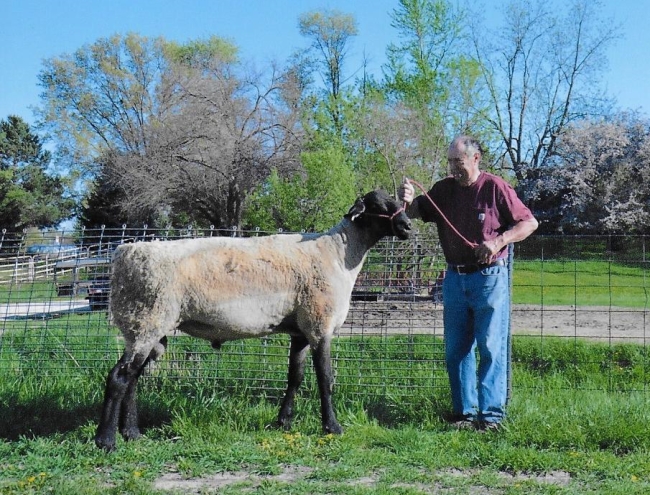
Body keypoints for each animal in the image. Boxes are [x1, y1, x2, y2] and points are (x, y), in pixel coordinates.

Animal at [94, 189, 412, 451]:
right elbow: (325, 378)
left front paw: (283, 422)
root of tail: (124, 253)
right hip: (146, 320)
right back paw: (106, 440)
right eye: (378, 205)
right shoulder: (319, 324)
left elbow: (294, 377)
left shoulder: (300, 330)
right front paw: (332, 427)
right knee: (119, 377)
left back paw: (132, 433)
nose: (407, 226)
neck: (337, 253)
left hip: (147, 327)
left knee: (133, 378)